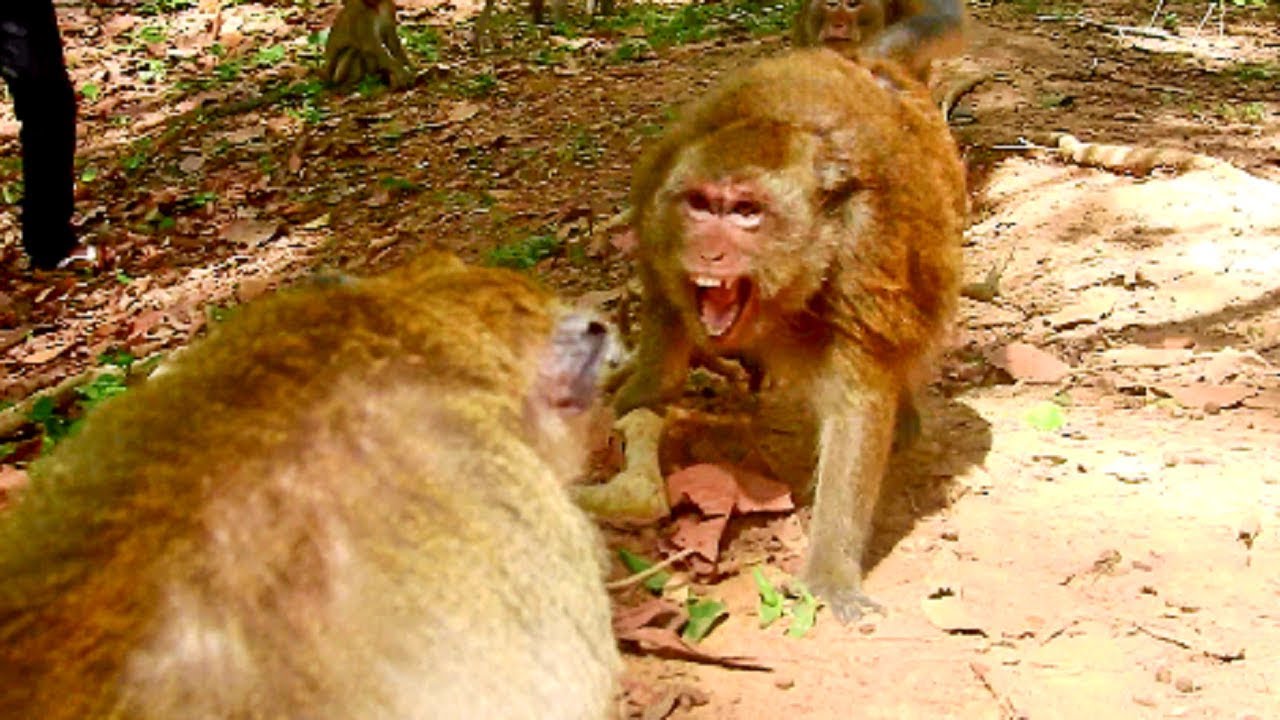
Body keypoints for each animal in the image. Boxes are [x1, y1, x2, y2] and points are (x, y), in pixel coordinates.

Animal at [611, 49, 966, 623]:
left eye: (746, 212)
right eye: (702, 205)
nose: (708, 251)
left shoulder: (866, 251)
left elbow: (857, 405)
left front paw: (830, 572)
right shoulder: (658, 210)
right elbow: (663, 300)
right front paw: (640, 395)